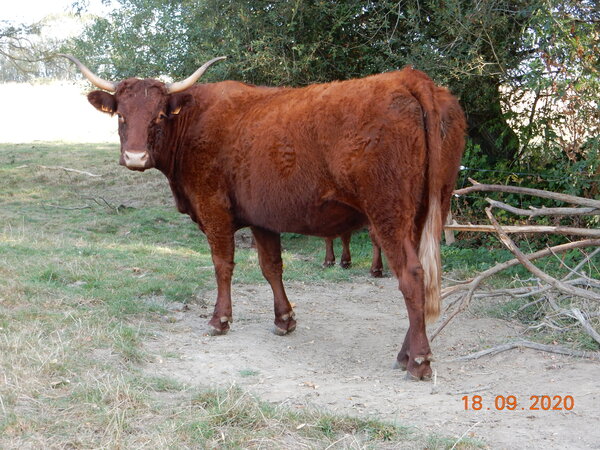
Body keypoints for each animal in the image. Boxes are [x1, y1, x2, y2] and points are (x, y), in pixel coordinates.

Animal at [62, 54, 464, 382]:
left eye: (159, 115)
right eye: (121, 115)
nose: (135, 158)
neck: (194, 121)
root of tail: (407, 78)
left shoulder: (213, 209)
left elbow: (222, 264)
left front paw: (220, 320)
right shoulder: (262, 217)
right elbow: (272, 267)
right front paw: (284, 320)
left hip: (389, 213)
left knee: (411, 276)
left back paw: (419, 361)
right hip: (427, 210)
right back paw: (406, 353)